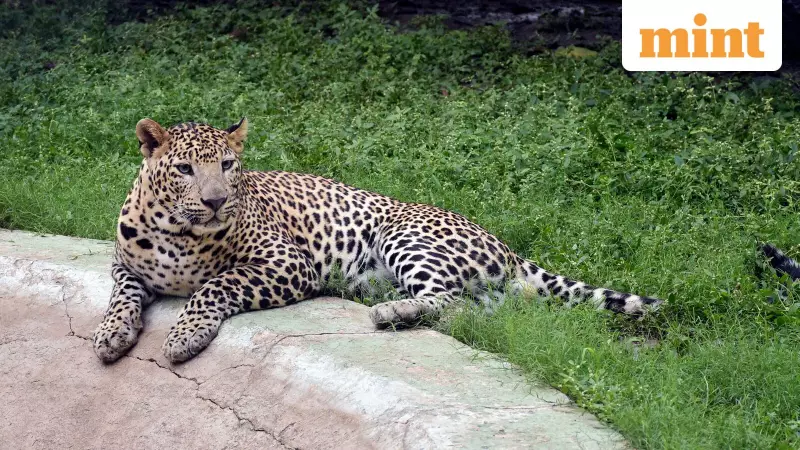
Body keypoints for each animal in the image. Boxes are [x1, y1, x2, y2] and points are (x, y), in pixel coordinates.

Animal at [93, 118, 662, 363]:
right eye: (185, 169)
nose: (214, 202)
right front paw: (110, 335)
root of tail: (507, 246)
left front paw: (184, 336)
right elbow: (121, 296)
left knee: (450, 302)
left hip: (402, 234)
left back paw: (392, 313)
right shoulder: (126, 266)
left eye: (228, 166)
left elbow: (214, 286)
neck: (178, 231)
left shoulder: (286, 264)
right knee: (479, 312)